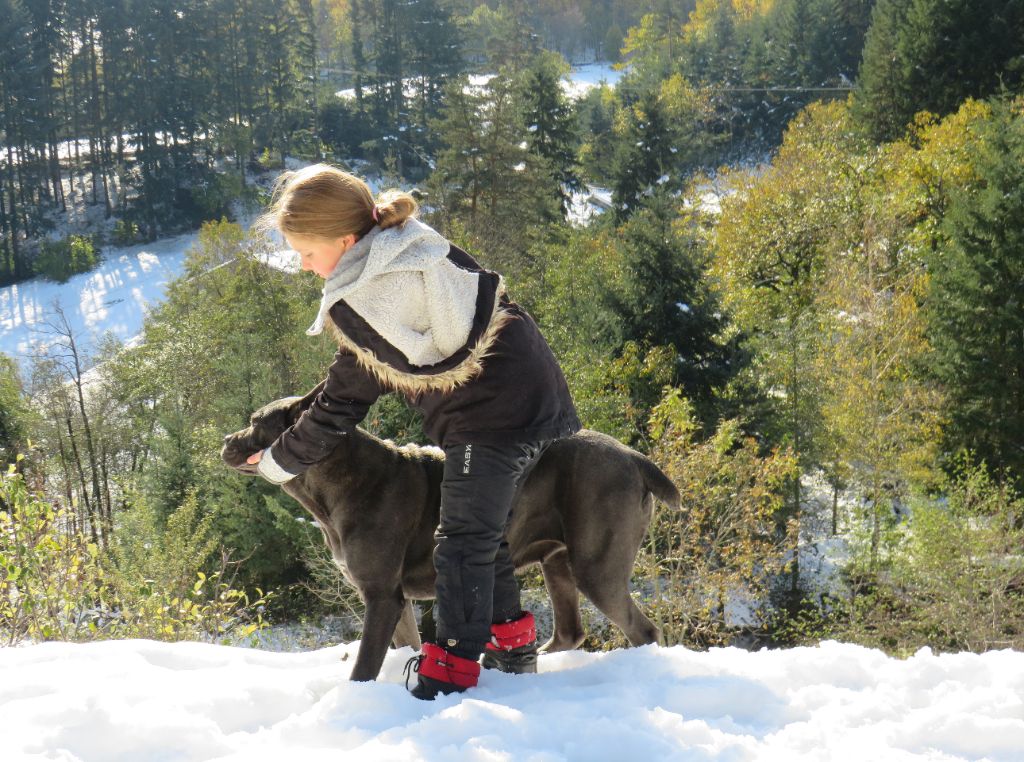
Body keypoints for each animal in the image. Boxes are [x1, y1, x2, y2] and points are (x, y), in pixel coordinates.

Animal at [223, 389, 684, 680]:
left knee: (642, 631)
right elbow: (404, 643)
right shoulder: (395, 600)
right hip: (557, 561)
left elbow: (366, 662)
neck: (334, 480)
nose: (227, 438)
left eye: (255, 422)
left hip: (595, 564)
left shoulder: (380, 595)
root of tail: (634, 457)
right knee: (569, 631)